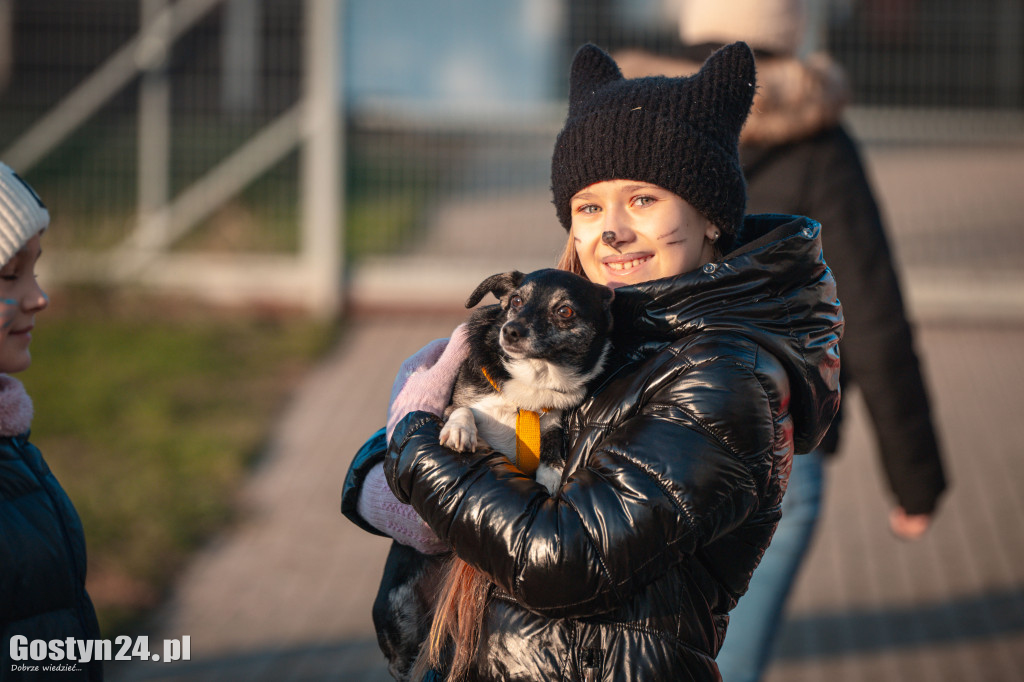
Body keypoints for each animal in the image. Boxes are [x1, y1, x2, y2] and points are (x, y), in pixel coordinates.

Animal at [372, 268, 610, 675]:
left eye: (564, 311)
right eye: (515, 301)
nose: (511, 331)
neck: (530, 384)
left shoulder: (553, 423)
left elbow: (554, 448)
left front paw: (550, 478)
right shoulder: (454, 404)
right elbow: (462, 411)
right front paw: (459, 432)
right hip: (399, 611)